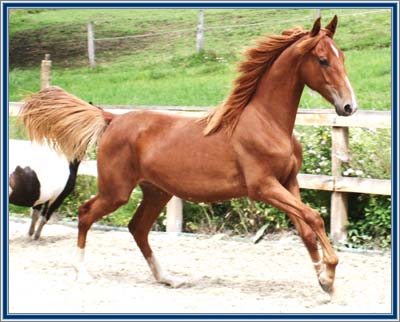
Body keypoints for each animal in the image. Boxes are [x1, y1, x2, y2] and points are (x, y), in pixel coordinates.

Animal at [19, 16, 356, 296]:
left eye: (342, 57)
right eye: (323, 60)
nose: (349, 106)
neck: (266, 123)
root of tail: (112, 119)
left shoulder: (288, 182)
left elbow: (306, 228)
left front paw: (323, 282)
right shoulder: (263, 187)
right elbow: (314, 218)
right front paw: (330, 273)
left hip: (157, 192)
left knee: (137, 228)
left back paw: (168, 278)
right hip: (117, 191)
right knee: (87, 213)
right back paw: (81, 272)